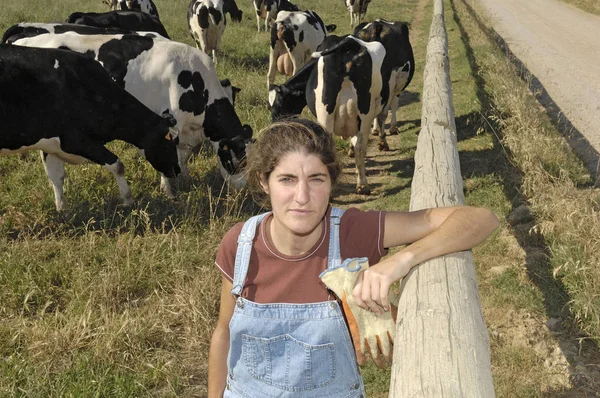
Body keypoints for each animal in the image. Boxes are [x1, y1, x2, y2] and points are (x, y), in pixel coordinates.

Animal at [0, 44, 180, 211]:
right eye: (170, 143)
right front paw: (128, 200)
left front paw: (62, 210)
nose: (176, 170)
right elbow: (117, 165)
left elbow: (56, 176)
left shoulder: (50, 143)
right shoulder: (76, 140)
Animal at [9, 32, 253, 197]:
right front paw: (169, 190)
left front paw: (184, 178)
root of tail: (21, 41)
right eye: (236, 161)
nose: (243, 189)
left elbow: (183, 157)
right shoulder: (167, 124)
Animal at [268, 35, 384, 194]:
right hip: (364, 114)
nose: (275, 128)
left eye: (280, 106)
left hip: (325, 115)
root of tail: (348, 44)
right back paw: (362, 185)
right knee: (361, 146)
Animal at [354, 18, 414, 151]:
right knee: (383, 114)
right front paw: (393, 128)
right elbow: (394, 104)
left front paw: (374, 129)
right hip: (389, 83)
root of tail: (376, 25)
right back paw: (383, 142)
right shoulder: (396, 86)